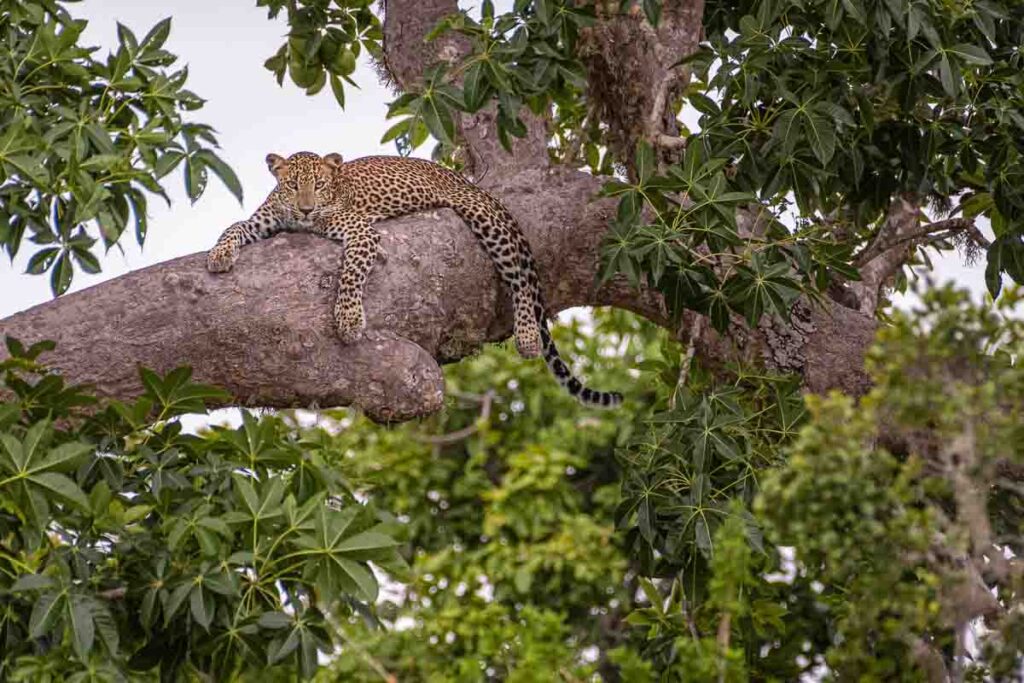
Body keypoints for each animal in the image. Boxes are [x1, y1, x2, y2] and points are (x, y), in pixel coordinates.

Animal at [205, 152, 622, 409]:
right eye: (292, 185)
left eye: (320, 185)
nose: (307, 208)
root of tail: (465, 179)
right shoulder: (264, 221)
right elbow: (234, 226)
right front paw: (218, 255)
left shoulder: (363, 233)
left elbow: (350, 275)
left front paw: (349, 320)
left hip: (489, 224)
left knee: (520, 277)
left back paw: (527, 336)